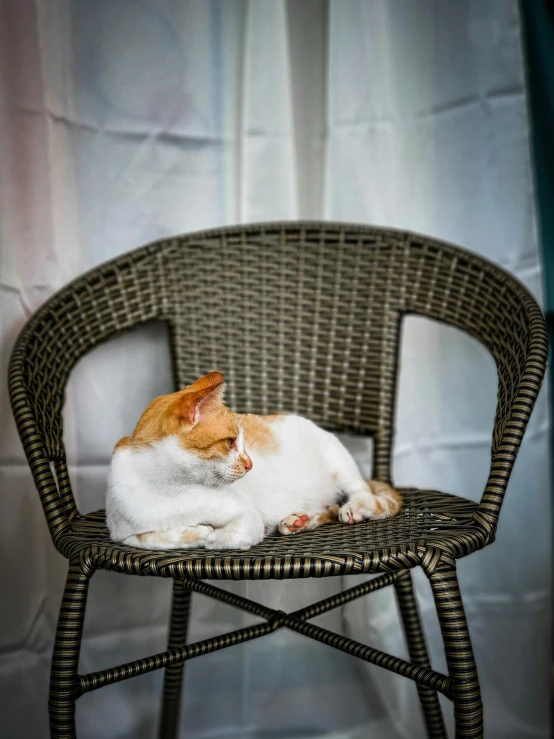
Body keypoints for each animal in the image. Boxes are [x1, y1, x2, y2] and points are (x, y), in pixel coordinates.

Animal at [108, 370, 402, 548]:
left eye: (243, 441)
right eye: (230, 442)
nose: (250, 465)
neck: (171, 489)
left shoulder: (247, 515)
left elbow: (233, 534)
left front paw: (213, 536)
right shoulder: (121, 534)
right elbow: (150, 537)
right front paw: (195, 532)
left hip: (338, 462)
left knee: (363, 494)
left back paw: (355, 507)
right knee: (328, 509)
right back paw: (299, 520)